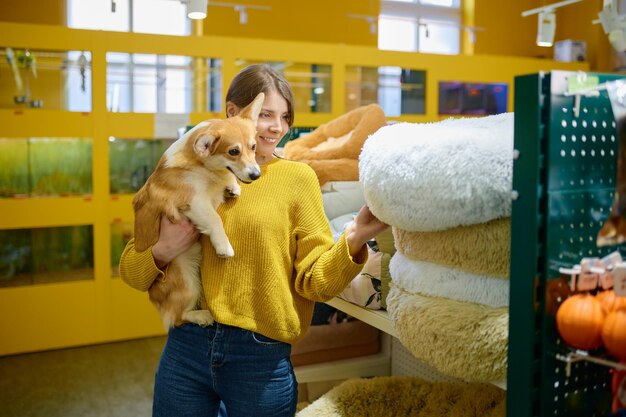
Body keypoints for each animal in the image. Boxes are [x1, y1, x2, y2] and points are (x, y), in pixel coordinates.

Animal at [132, 92, 264, 326]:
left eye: (254, 147)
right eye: (233, 152)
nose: (256, 175)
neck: (203, 167)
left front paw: (232, 187)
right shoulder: (194, 201)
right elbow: (214, 220)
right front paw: (224, 247)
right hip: (187, 281)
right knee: (178, 317)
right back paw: (202, 315)